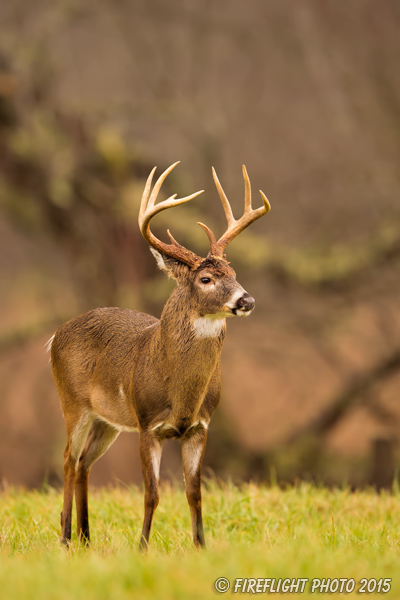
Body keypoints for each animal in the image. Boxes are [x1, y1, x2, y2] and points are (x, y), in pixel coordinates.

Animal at [48, 162, 270, 552]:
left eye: (234, 274)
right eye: (207, 279)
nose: (247, 300)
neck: (180, 392)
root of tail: (55, 335)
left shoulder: (199, 427)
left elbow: (194, 493)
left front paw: (201, 547)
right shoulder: (147, 424)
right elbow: (151, 493)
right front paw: (142, 547)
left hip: (107, 420)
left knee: (85, 463)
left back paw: (87, 539)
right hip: (72, 402)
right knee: (68, 460)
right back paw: (64, 539)